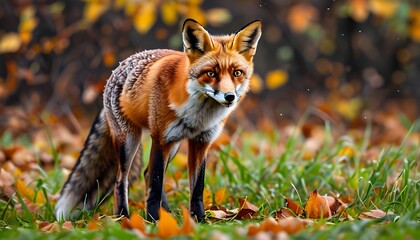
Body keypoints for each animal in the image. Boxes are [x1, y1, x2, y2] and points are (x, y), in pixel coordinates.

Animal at [54, 18, 260, 221]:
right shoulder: (160, 138)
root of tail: (117, 69)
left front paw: (199, 220)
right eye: (210, 73)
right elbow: (156, 183)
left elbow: (196, 189)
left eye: (237, 73)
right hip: (130, 142)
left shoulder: (201, 142)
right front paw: (153, 221)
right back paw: (124, 218)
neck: (199, 115)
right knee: (121, 180)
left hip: (174, 146)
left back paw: (167, 214)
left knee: (145, 174)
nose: (229, 97)